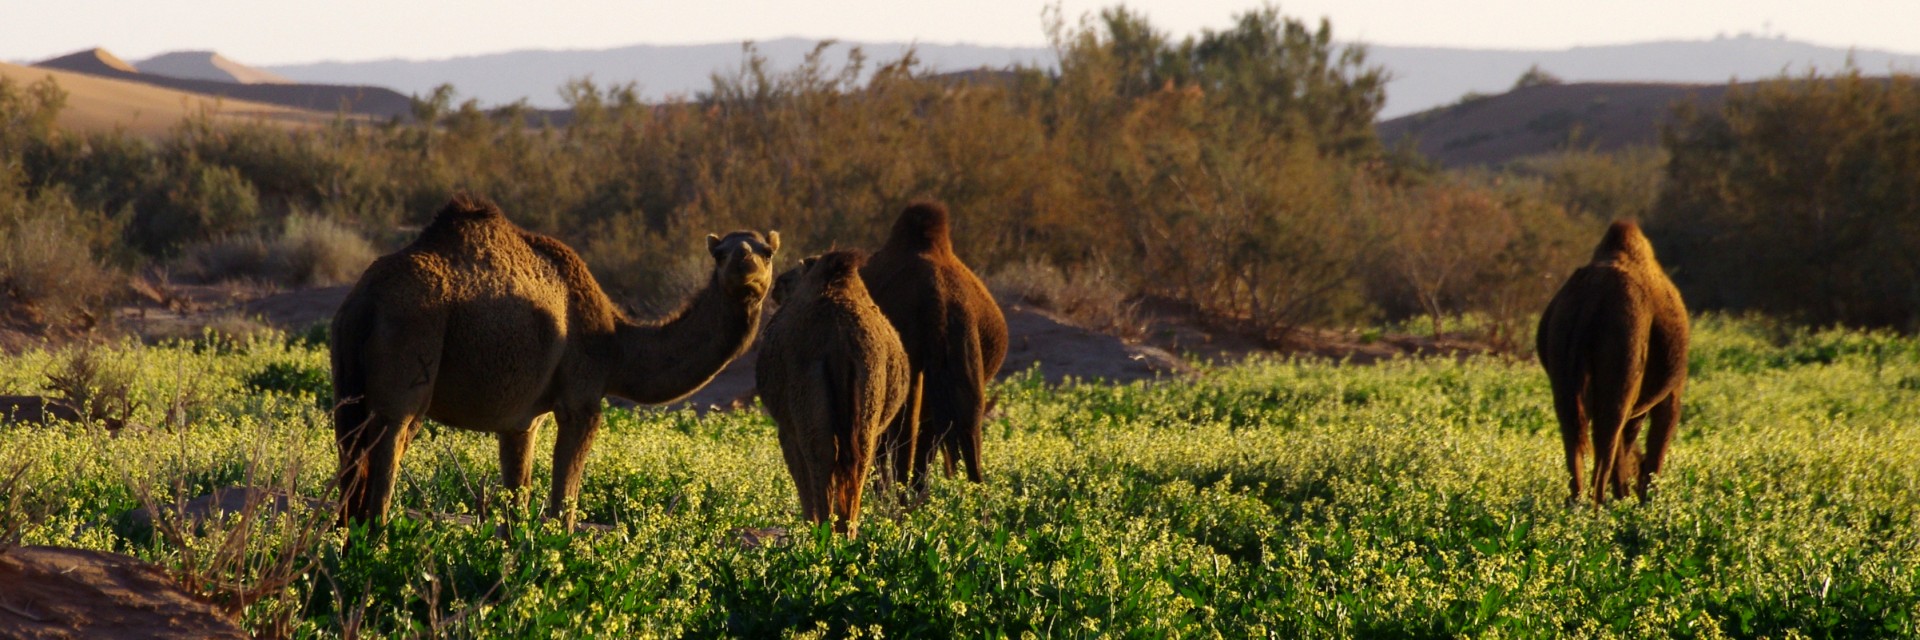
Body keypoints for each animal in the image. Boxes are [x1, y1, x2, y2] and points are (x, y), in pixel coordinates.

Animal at [334, 193, 775, 526]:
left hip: (345, 378)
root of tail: (365, 301)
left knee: (349, 468)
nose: (744, 265)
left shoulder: (521, 422)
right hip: (409, 356)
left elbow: (517, 504)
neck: (616, 343)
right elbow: (564, 505)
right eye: (720, 253)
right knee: (386, 457)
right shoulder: (581, 400)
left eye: (766, 251)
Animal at [752, 251, 910, 534]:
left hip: (805, 404)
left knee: (820, 457)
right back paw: (846, 532)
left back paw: (823, 532)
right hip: (869, 397)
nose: (777, 285)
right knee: (857, 461)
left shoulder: (787, 431)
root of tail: (839, 339)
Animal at [1536, 221, 1689, 507]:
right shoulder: (1671, 393)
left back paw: (1577, 506)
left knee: (1576, 441)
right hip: (1622, 370)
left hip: (1564, 376)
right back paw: (1599, 508)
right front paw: (1645, 501)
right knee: (1606, 441)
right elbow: (1654, 451)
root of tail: (1591, 300)